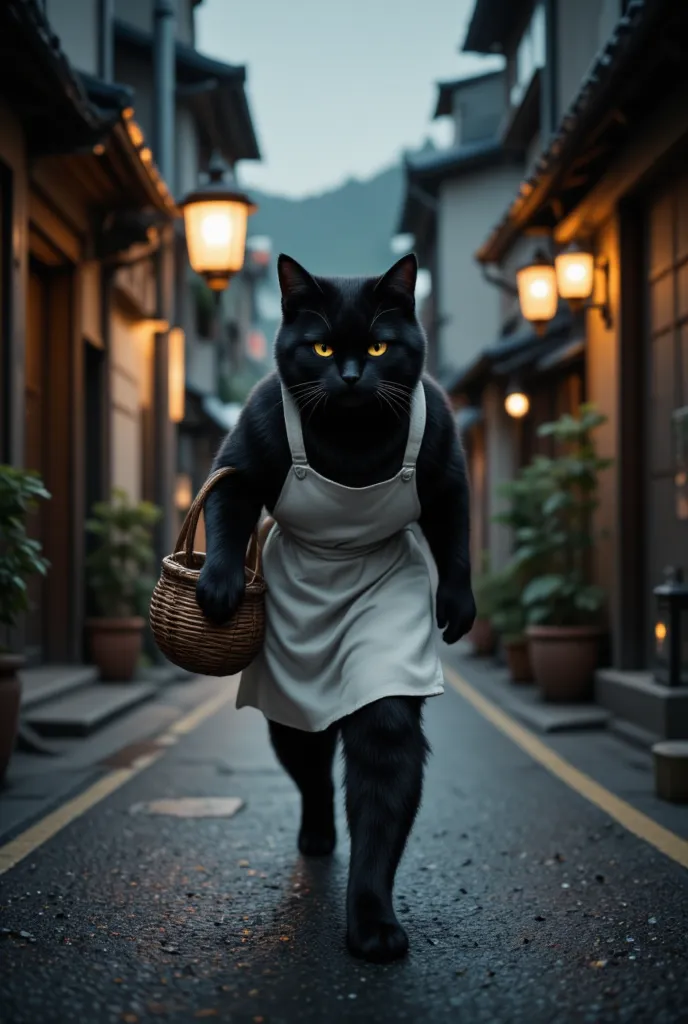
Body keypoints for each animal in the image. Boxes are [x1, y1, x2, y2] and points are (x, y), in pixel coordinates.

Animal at [196, 249, 475, 958]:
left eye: (378, 345)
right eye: (321, 347)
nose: (350, 376)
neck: (352, 443)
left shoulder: (444, 461)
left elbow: (454, 529)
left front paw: (373, 922)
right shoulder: (249, 440)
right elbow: (228, 497)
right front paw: (218, 584)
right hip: (287, 710)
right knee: (311, 767)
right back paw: (318, 837)